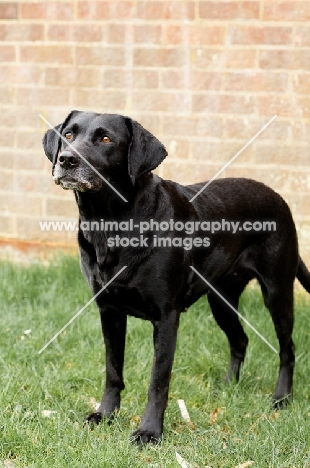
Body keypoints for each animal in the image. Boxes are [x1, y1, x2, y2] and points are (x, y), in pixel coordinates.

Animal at [43, 111, 310, 444]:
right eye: (68, 134)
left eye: (105, 138)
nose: (66, 159)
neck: (110, 223)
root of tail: (279, 198)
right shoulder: (109, 310)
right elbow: (112, 370)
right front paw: (105, 415)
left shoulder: (167, 317)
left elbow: (158, 381)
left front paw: (149, 432)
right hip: (220, 300)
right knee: (240, 340)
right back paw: (228, 386)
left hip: (276, 292)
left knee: (288, 348)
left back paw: (281, 398)